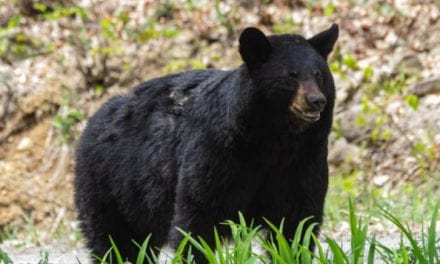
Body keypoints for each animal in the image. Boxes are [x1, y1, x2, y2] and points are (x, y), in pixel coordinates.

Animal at [74, 23, 338, 262]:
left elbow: (297, 221)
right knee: (114, 240)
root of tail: (95, 117)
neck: (275, 139)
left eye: (318, 74)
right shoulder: (217, 151)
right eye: (291, 76)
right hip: (111, 183)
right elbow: (199, 214)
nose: (316, 100)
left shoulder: (303, 160)